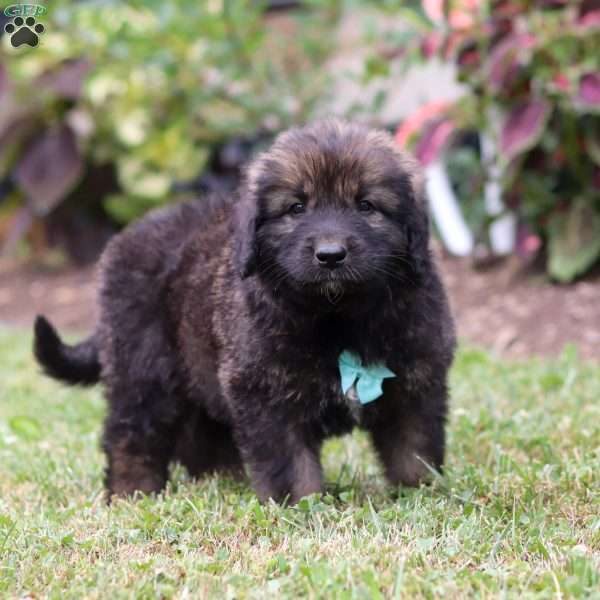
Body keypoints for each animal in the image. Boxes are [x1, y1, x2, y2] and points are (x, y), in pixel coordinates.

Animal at [32, 119, 454, 504]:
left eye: (366, 205)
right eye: (296, 208)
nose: (330, 254)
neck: (337, 316)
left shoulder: (416, 381)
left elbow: (414, 448)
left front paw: (422, 493)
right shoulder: (264, 391)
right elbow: (289, 461)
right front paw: (299, 505)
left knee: (201, 433)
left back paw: (223, 478)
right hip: (143, 366)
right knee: (131, 432)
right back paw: (133, 490)